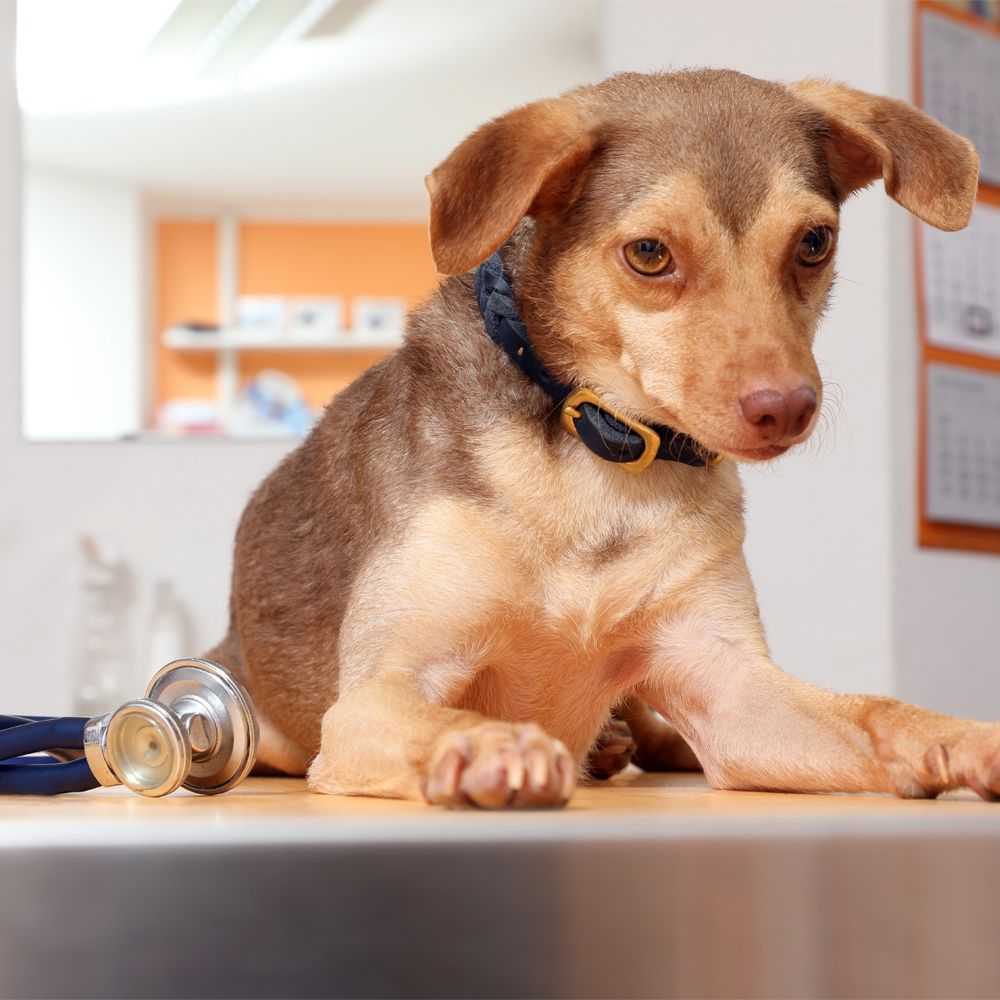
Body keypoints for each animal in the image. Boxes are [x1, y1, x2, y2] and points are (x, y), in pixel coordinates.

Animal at [203, 68, 984, 804]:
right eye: (649, 253)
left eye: (814, 243)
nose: (787, 407)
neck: (596, 457)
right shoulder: (377, 693)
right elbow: (442, 718)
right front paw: (487, 744)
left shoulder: (732, 691)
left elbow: (879, 710)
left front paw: (966, 739)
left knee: (661, 737)